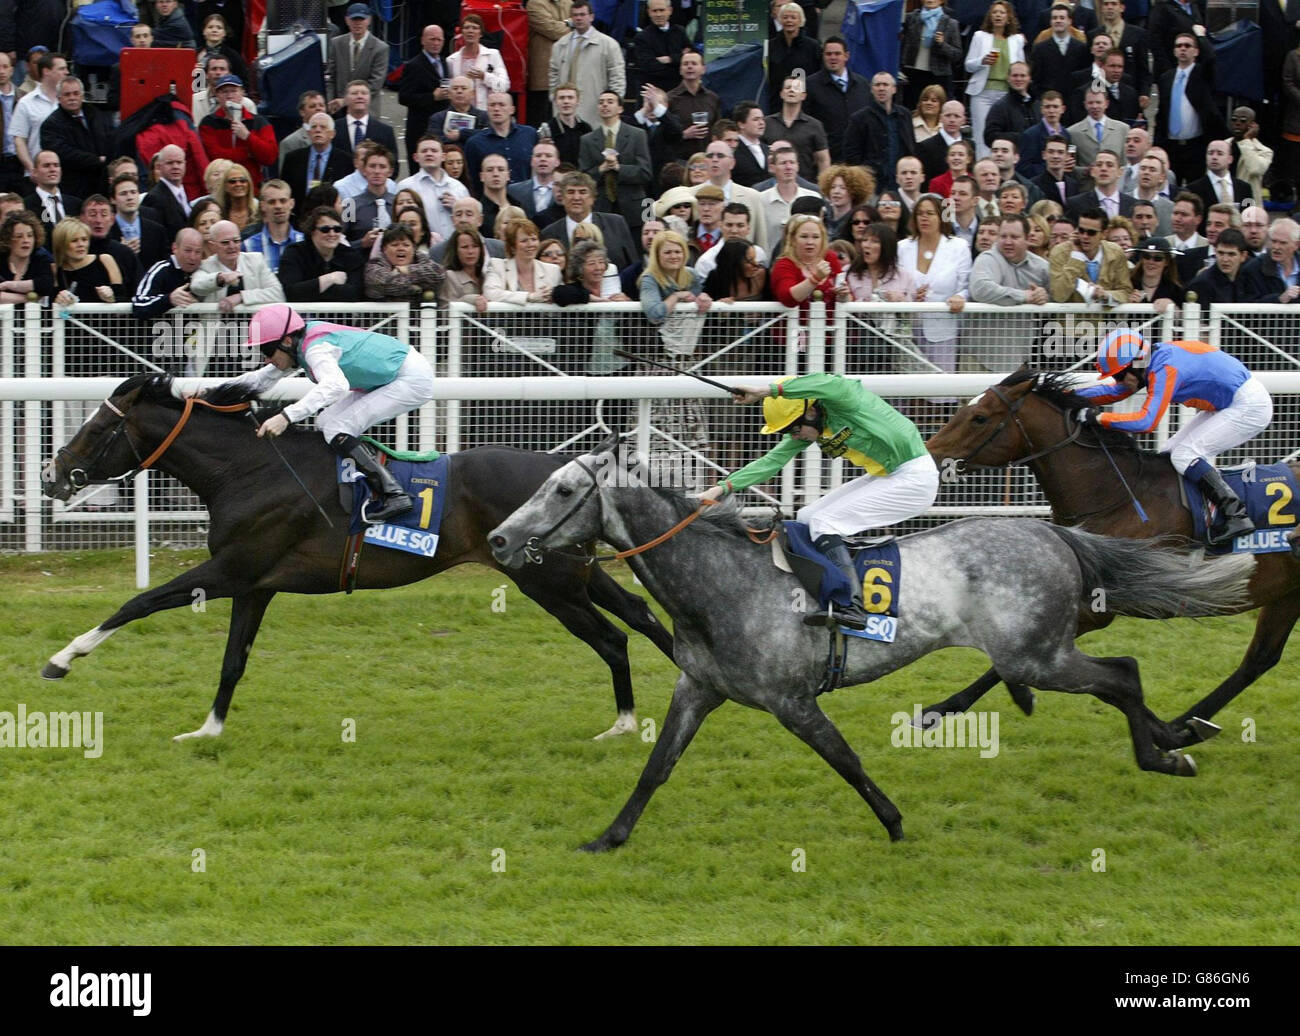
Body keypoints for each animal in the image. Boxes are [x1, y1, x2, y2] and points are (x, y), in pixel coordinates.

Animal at [38, 376, 670, 738]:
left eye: (97, 427)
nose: (50, 476)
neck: (248, 470)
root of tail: (570, 469)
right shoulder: (255, 585)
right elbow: (233, 661)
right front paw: (208, 730)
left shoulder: (230, 570)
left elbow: (138, 602)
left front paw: (63, 658)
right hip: (574, 572)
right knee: (641, 615)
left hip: (549, 582)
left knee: (613, 637)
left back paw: (624, 723)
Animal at [488, 439, 1248, 847]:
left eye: (562, 491)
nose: (497, 539)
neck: (721, 584)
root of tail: (1052, 532)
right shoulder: (698, 688)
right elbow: (656, 768)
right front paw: (609, 837)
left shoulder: (791, 701)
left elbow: (845, 760)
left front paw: (894, 823)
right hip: (1038, 653)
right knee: (1122, 673)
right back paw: (1176, 738)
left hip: (1036, 654)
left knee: (1122, 671)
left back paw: (1167, 753)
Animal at [925, 366, 1300, 748]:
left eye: (980, 418)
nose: (930, 453)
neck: (1116, 496)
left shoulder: (1097, 607)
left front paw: (939, 709)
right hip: (1286, 593)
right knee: (1260, 659)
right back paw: (1187, 725)